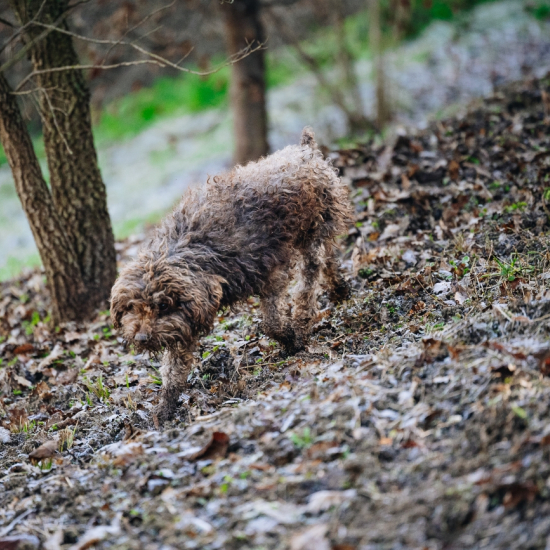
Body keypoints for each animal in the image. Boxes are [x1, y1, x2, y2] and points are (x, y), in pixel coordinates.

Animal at [110, 127, 352, 421]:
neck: (197, 252)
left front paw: (291, 340)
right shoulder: (186, 320)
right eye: (132, 307)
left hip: (314, 228)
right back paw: (339, 291)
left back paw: (305, 320)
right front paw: (165, 407)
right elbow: (173, 368)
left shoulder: (270, 273)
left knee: (311, 275)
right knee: (328, 260)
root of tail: (306, 150)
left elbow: (272, 323)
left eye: (163, 306)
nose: (141, 339)